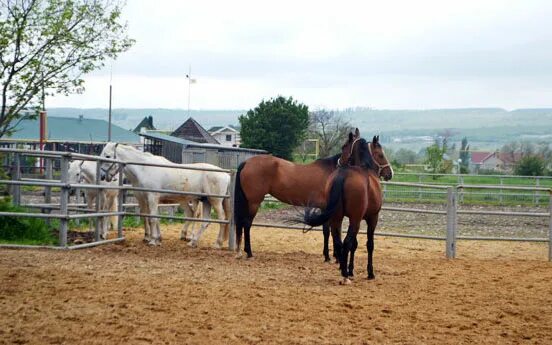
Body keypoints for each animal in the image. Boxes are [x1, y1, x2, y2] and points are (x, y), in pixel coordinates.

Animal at [99, 143, 231, 247]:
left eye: (107, 156)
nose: (102, 176)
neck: (144, 168)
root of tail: (227, 175)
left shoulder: (152, 197)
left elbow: (152, 218)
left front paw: (153, 241)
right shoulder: (146, 199)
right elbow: (150, 217)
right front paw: (156, 238)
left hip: (215, 201)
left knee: (221, 219)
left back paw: (217, 243)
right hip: (206, 201)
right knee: (205, 221)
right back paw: (192, 242)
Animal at [234, 129, 360, 258]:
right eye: (343, 146)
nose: (340, 164)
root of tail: (247, 162)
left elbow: (328, 231)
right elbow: (329, 231)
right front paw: (330, 256)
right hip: (254, 202)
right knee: (247, 224)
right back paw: (249, 252)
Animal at [302, 134, 392, 282]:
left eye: (344, 146)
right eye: (380, 154)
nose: (390, 173)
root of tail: (342, 176)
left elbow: (354, 245)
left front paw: (351, 269)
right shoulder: (371, 218)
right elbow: (369, 244)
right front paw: (370, 272)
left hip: (337, 218)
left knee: (339, 241)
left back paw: (343, 269)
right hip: (355, 219)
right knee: (346, 242)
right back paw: (344, 274)